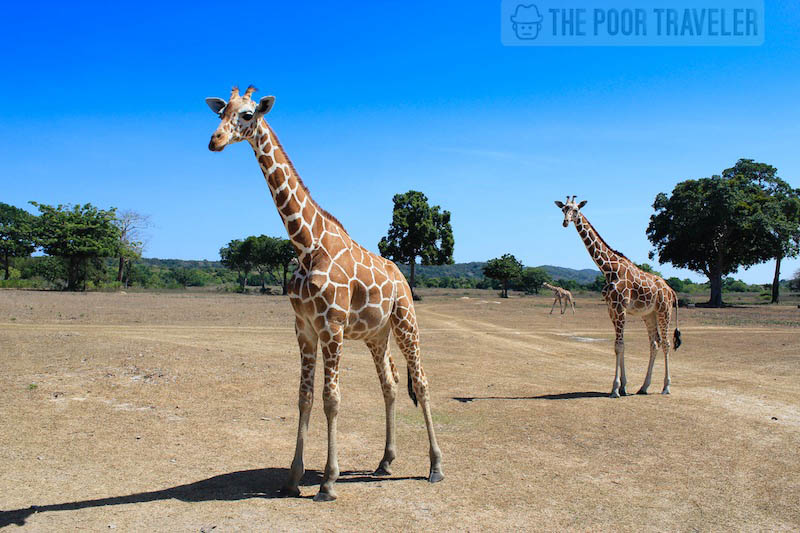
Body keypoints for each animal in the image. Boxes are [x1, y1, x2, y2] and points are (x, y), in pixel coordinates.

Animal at [206, 86, 444, 498]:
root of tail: (401, 275)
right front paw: (293, 478)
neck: (306, 244)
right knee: (391, 385)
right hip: (376, 335)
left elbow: (331, 399)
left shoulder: (332, 326)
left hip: (405, 321)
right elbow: (304, 397)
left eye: (248, 114)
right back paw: (385, 461)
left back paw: (435, 466)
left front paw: (329, 481)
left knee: (422, 382)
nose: (215, 140)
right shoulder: (304, 328)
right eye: (222, 113)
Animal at [556, 197, 680, 396]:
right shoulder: (612, 309)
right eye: (564, 209)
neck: (607, 268)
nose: (566, 222)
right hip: (649, 314)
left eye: (576, 210)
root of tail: (671, 290)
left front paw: (615, 389)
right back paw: (644, 387)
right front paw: (623, 386)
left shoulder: (620, 307)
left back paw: (666, 387)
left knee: (667, 343)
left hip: (664, 311)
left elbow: (619, 345)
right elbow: (619, 346)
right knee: (655, 343)